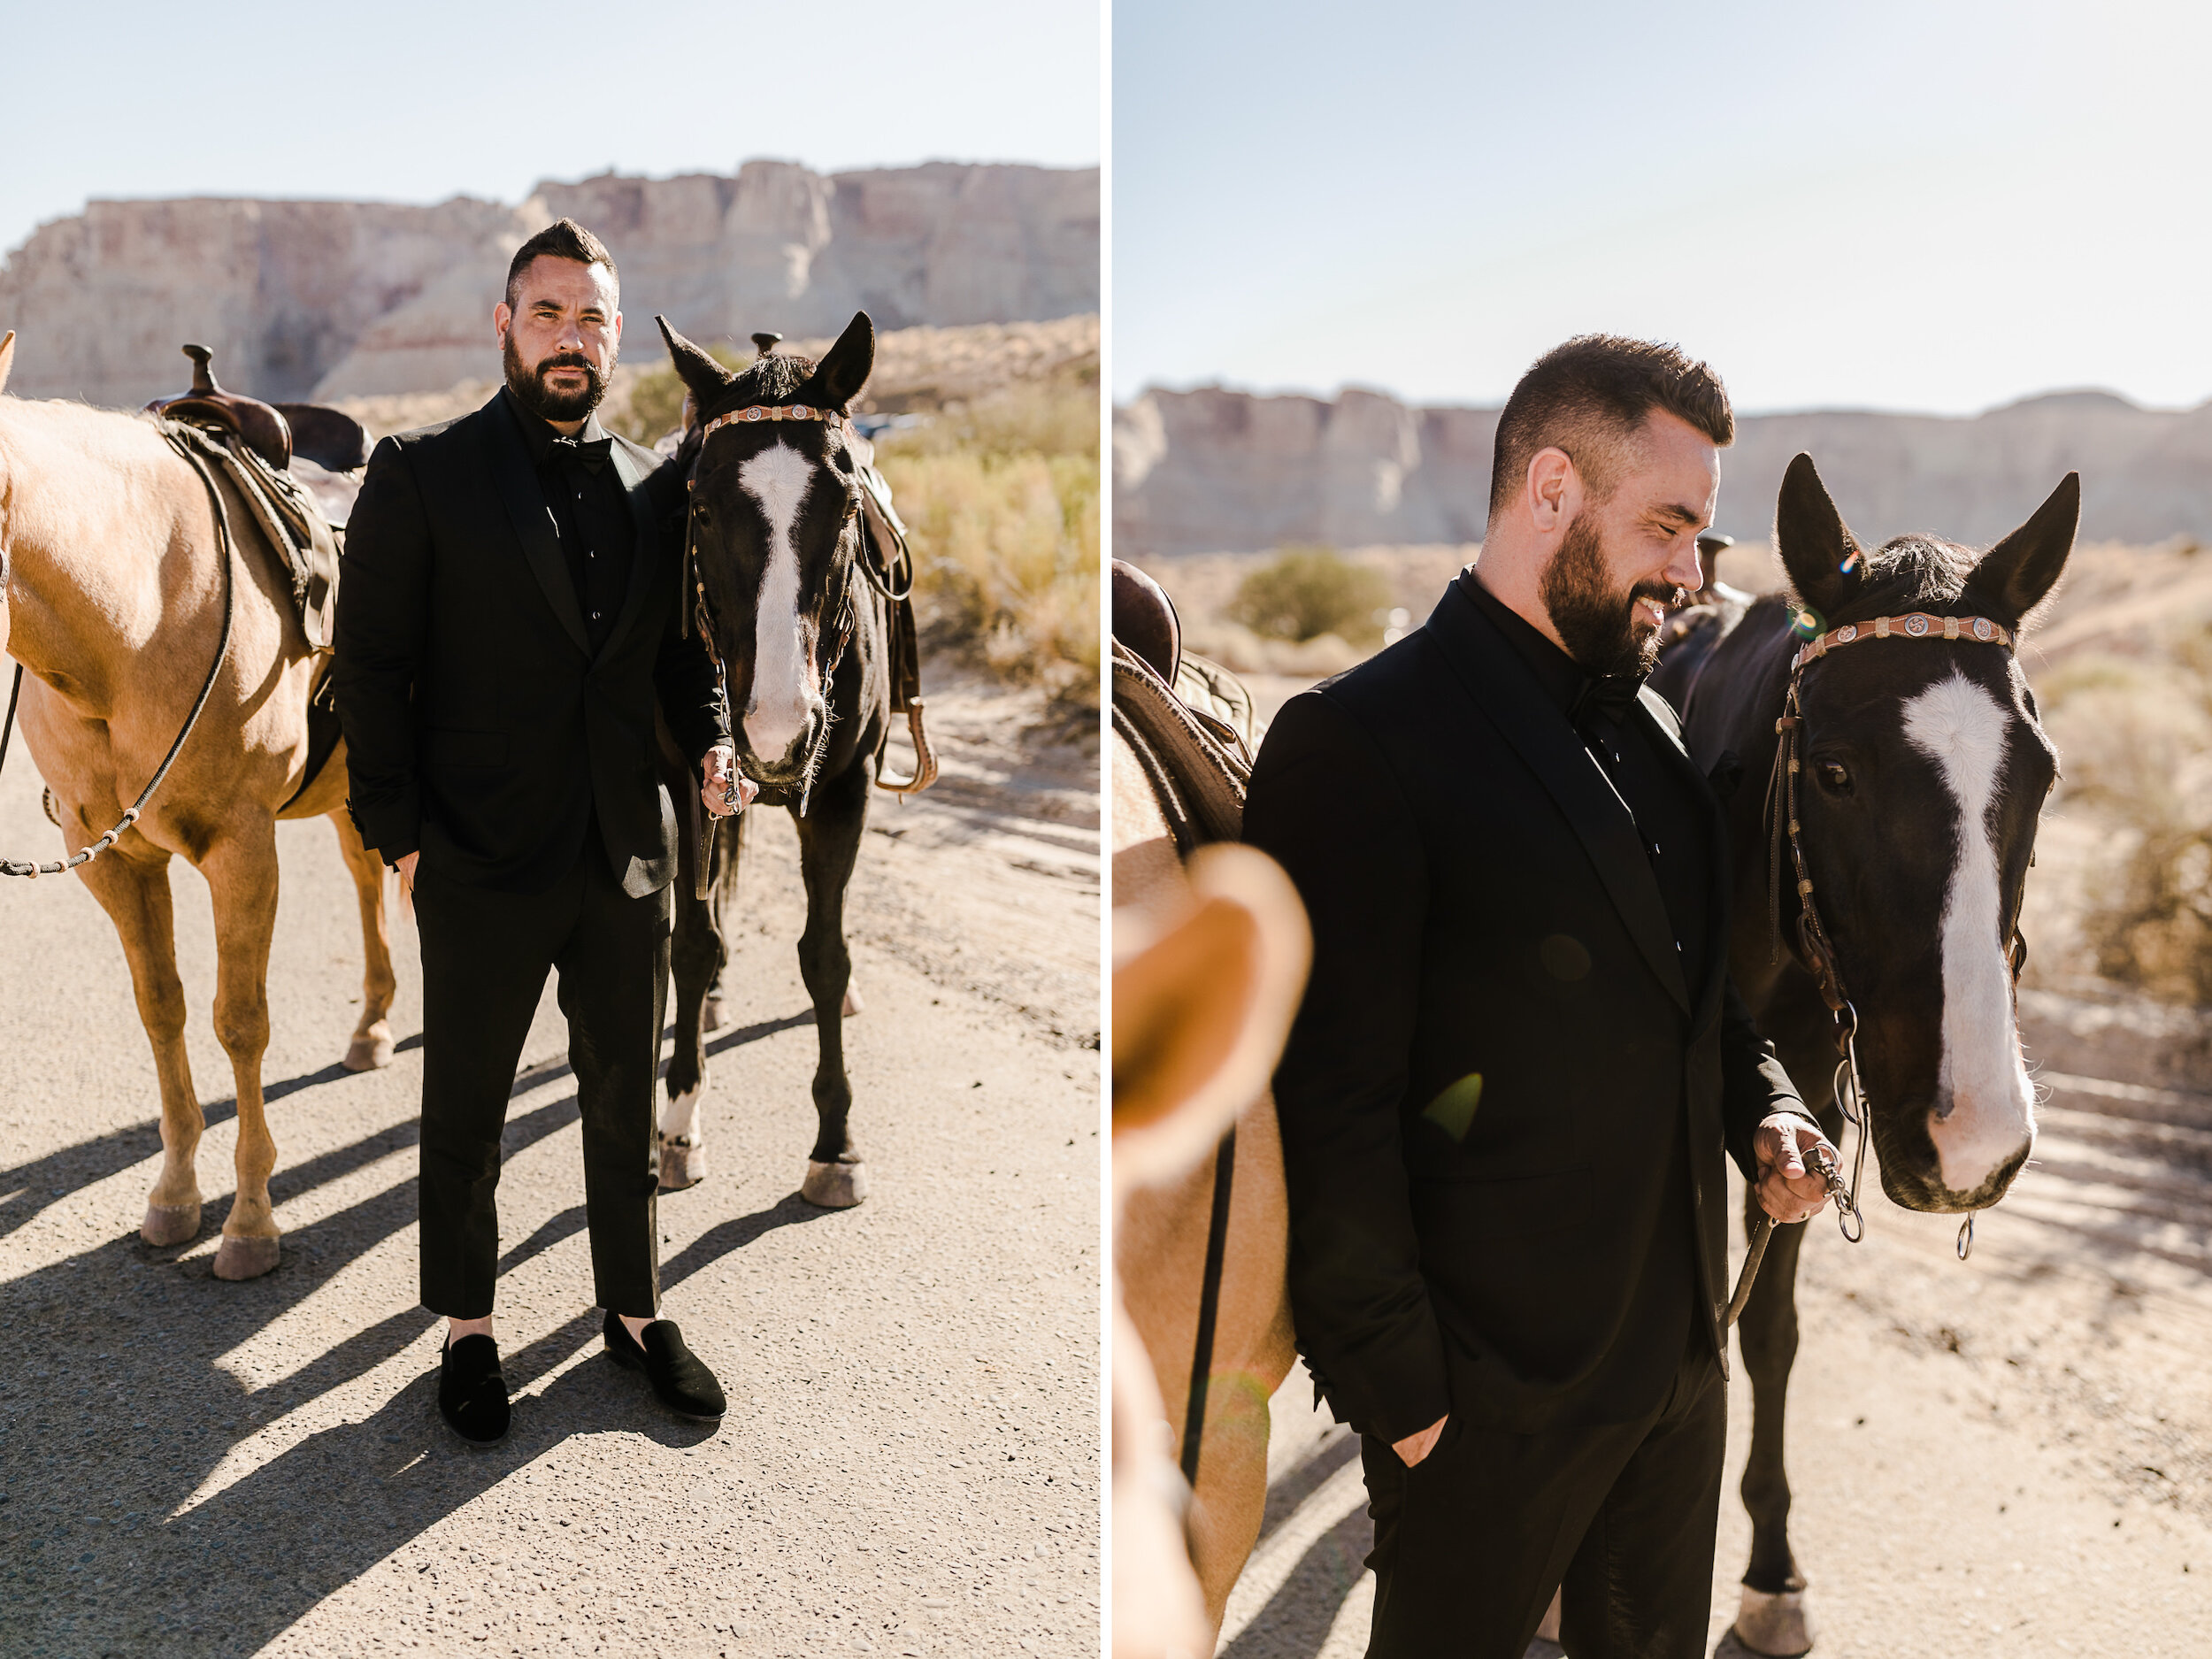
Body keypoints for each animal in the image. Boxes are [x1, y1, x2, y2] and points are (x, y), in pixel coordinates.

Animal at [0, 332, 394, 1283]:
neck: (127, 623)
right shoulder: (108, 856)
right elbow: (163, 1008)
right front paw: (176, 1194)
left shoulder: (240, 848)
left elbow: (239, 1022)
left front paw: (250, 1221)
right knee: (368, 879)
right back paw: (371, 1025)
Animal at [1663, 449, 2070, 1655]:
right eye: (1836, 773)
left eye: (2041, 774)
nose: (1971, 1141)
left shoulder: (1803, 1103)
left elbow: (1773, 1333)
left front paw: (1770, 1569)